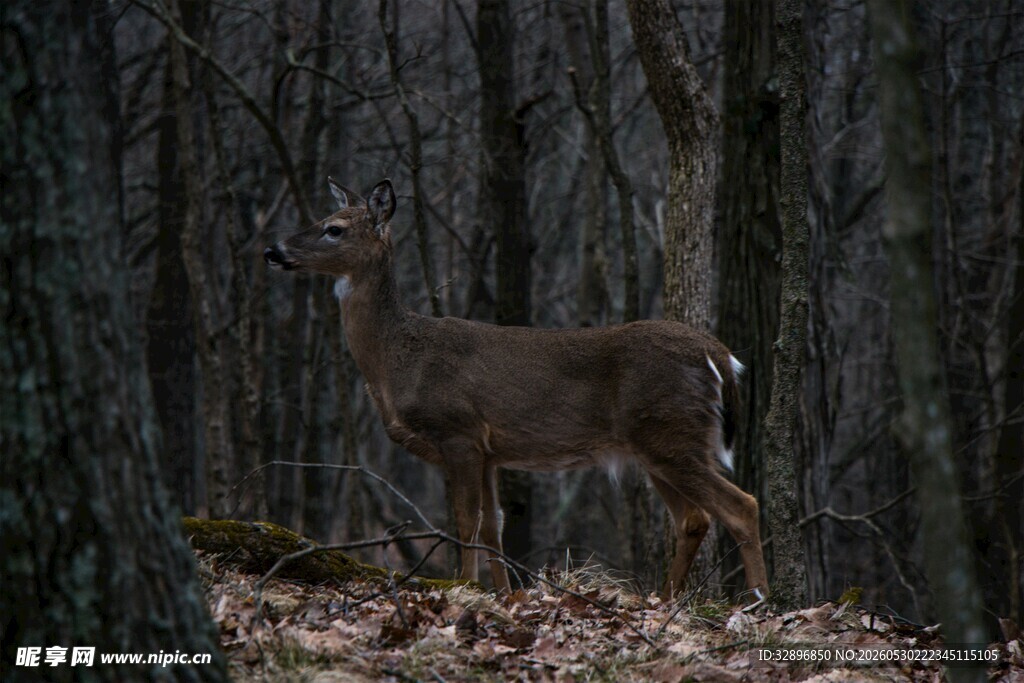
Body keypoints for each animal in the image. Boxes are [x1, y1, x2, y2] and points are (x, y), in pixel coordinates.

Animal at [264, 178, 769, 603]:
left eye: (333, 229)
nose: (273, 249)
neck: (399, 360)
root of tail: (721, 356)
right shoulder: (490, 452)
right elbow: (494, 526)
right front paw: (505, 596)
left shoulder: (459, 431)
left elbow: (465, 522)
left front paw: (464, 586)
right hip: (656, 445)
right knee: (694, 519)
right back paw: (666, 601)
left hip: (669, 433)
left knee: (741, 505)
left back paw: (760, 601)